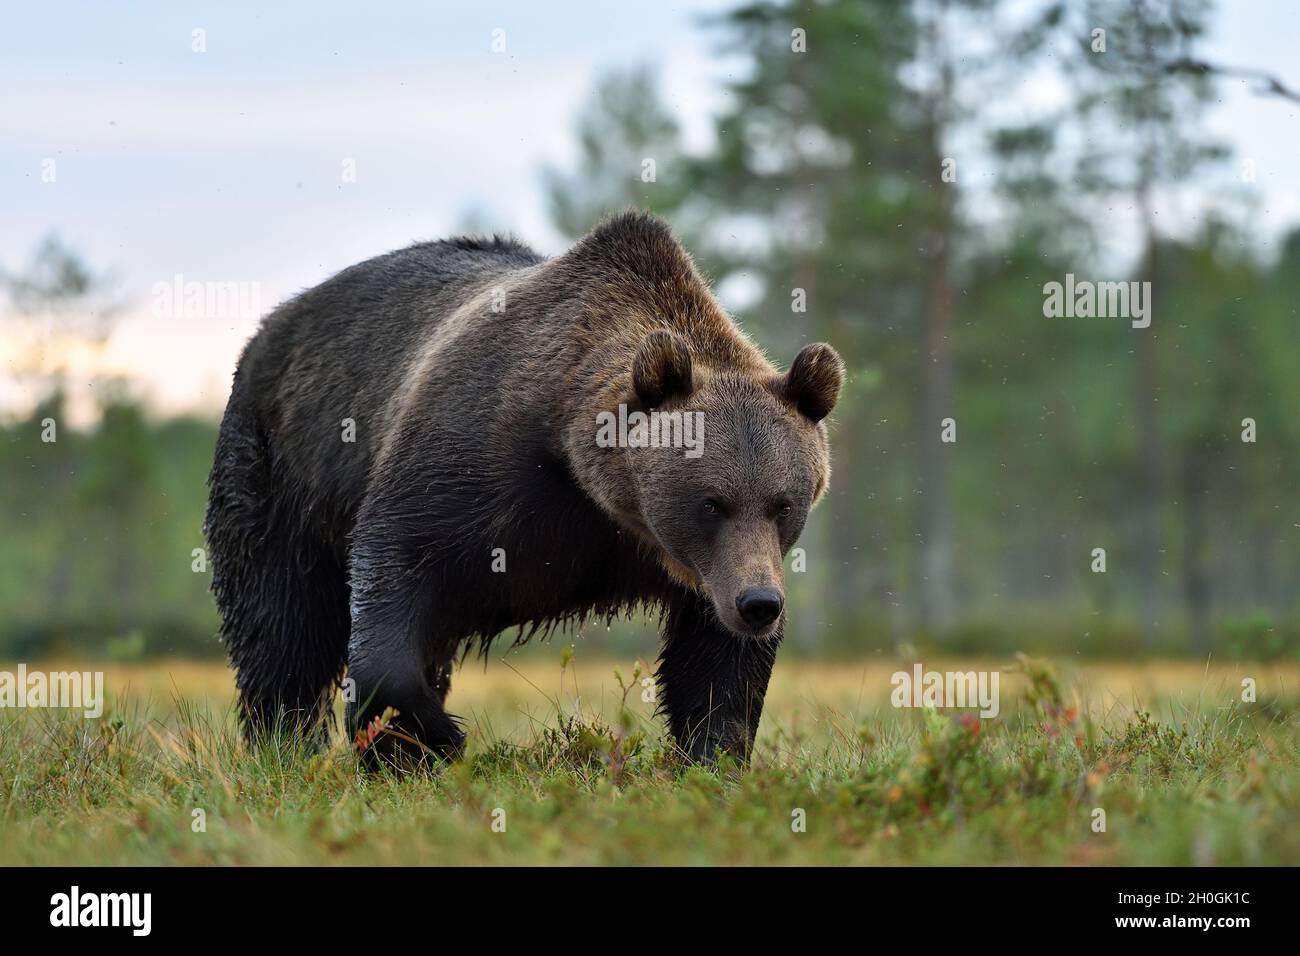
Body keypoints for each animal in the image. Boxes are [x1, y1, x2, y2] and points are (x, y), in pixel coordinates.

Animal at [204, 210, 844, 767]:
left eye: (784, 504)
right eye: (711, 502)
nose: (759, 604)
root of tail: (272, 324)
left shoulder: (691, 566)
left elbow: (714, 661)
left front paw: (713, 754)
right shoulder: (473, 459)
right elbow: (395, 564)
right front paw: (426, 739)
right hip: (279, 466)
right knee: (281, 619)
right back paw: (284, 744)